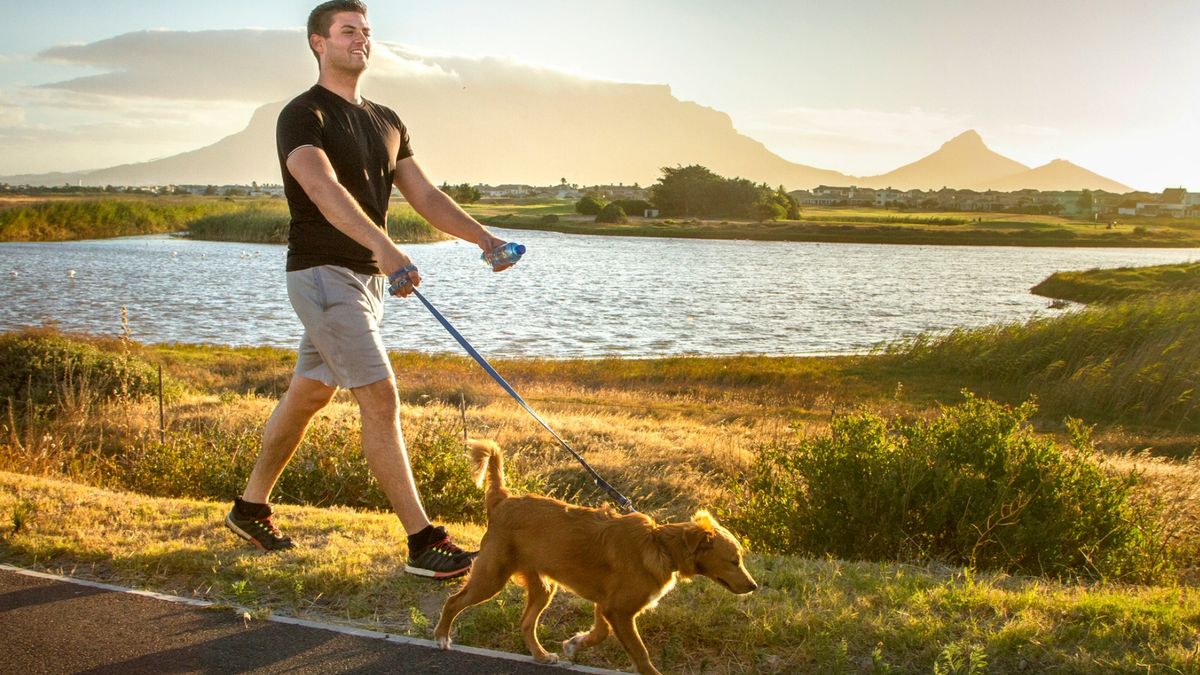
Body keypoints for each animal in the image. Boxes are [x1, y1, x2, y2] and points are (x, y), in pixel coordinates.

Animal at [432, 437, 753, 672]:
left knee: (526, 623)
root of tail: (503, 500)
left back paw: (541, 655)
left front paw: (575, 644)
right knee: (453, 601)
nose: (753, 586)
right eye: (733, 560)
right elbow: (640, 653)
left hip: (542, 586)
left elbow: (600, 633)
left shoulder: (606, 605)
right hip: (491, 576)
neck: (659, 545)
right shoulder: (618, 610)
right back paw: (442, 636)